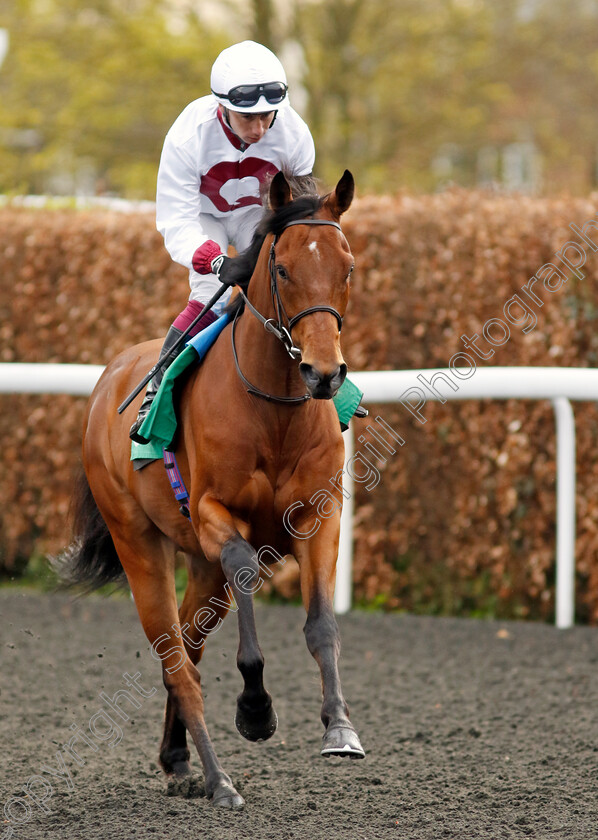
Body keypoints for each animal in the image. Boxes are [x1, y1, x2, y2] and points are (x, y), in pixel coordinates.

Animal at [64, 171, 366, 808]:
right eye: (283, 270)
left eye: (348, 267)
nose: (324, 373)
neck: (275, 411)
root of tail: (106, 381)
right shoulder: (211, 515)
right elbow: (246, 567)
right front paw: (255, 708)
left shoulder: (320, 513)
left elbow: (322, 623)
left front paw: (340, 728)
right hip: (139, 543)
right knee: (177, 659)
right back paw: (217, 778)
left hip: (200, 570)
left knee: (189, 645)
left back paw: (178, 759)